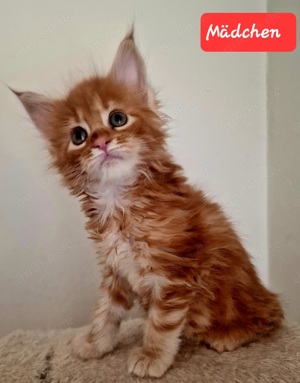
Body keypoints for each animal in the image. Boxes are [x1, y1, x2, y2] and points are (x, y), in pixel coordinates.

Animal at [13, 31, 284, 380]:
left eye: (117, 119)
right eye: (78, 136)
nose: (101, 142)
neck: (119, 202)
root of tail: (267, 296)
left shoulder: (174, 271)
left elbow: (161, 323)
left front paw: (152, 356)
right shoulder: (114, 269)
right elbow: (105, 311)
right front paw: (94, 343)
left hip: (252, 305)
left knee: (268, 320)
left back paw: (228, 335)